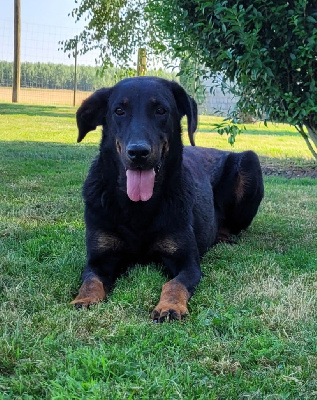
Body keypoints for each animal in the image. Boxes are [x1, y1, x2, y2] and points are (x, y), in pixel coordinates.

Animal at [71, 77, 264, 322]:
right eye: (119, 111)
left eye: (161, 110)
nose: (138, 152)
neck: (138, 208)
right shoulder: (99, 259)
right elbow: (91, 281)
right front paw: (85, 299)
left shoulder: (187, 263)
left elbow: (173, 284)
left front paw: (170, 306)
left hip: (250, 162)